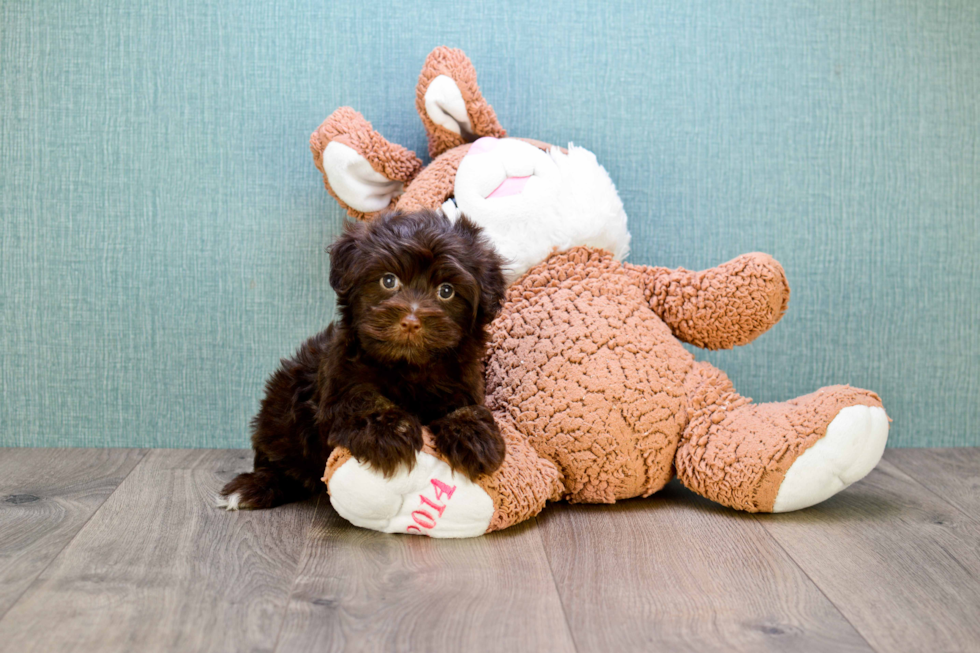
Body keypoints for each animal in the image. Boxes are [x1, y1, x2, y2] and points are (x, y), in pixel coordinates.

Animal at [219, 209, 510, 510]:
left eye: (446, 291)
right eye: (388, 280)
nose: (411, 321)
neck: (407, 367)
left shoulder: (462, 379)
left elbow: (464, 407)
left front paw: (474, 435)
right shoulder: (338, 384)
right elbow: (362, 400)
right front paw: (389, 431)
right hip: (279, 413)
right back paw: (255, 485)